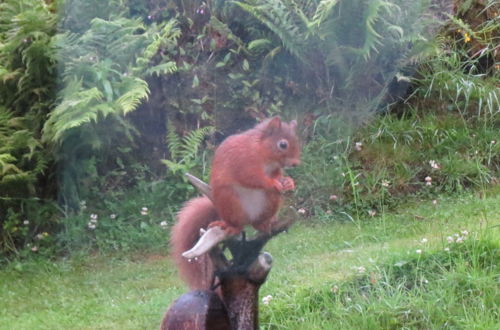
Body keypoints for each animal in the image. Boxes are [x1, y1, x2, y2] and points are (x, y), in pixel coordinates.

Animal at [171, 117, 300, 288]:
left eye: (297, 141)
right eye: (283, 144)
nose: (296, 163)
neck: (261, 150)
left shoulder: (274, 169)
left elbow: (278, 174)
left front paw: (288, 182)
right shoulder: (243, 161)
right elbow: (252, 177)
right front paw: (273, 183)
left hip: (270, 202)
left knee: (258, 222)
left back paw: (266, 223)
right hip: (230, 201)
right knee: (237, 224)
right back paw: (232, 227)